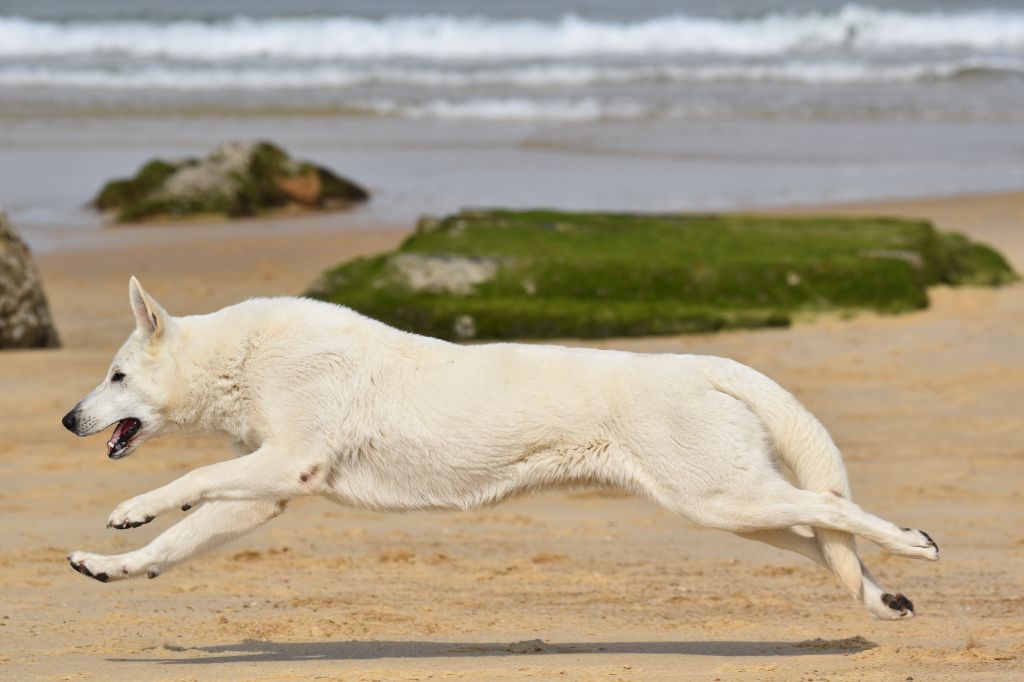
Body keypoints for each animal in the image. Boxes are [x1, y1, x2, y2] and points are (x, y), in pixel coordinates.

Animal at [62, 277, 937, 619]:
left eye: (116, 375)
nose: (70, 419)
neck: (242, 356)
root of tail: (701, 361)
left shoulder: (285, 463)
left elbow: (191, 479)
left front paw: (129, 510)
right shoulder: (269, 492)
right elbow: (177, 540)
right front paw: (111, 565)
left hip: (727, 497)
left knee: (833, 508)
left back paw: (914, 542)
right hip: (732, 509)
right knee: (821, 535)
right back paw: (878, 598)